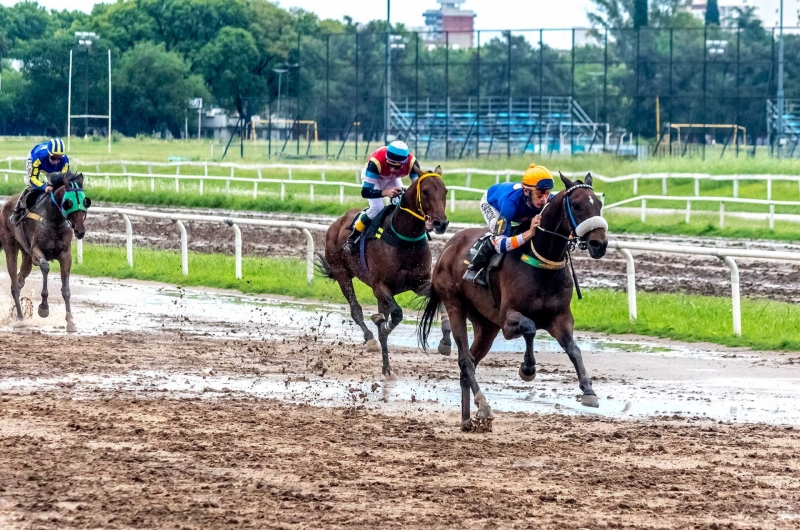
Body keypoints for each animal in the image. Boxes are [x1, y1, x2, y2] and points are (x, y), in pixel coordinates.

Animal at [0, 171, 90, 332]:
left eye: (85, 201)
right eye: (68, 203)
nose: (80, 231)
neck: (54, 219)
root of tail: (5, 204)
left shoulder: (65, 255)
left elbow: (66, 290)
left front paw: (70, 321)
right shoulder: (36, 251)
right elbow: (45, 267)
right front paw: (43, 307)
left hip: (26, 256)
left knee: (19, 281)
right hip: (10, 246)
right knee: (15, 284)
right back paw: (20, 317)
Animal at [314, 166, 450, 376]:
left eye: (445, 191)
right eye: (426, 191)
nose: (440, 223)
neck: (404, 239)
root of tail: (336, 223)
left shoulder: (420, 284)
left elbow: (438, 301)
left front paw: (445, 342)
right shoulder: (380, 286)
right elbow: (397, 314)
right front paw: (382, 327)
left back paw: (387, 368)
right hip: (342, 273)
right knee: (356, 310)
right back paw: (371, 339)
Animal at [416, 173, 608, 428]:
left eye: (599, 203)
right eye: (576, 205)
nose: (600, 244)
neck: (541, 260)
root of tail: (448, 246)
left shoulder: (560, 318)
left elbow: (574, 349)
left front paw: (589, 391)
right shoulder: (508, 320)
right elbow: (529, 327)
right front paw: (528, 368)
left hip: (486, 325)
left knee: (470, 363)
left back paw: (468, 418)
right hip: (455, 303)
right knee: (465, 360)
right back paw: (484, 405)